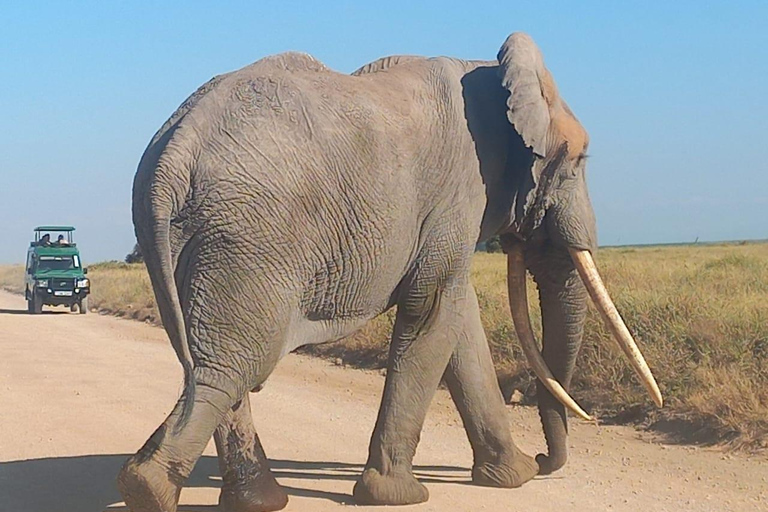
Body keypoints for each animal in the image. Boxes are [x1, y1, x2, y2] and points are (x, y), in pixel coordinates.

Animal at [120, 33, 660, 512]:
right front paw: (399, 496)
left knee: (213, 360)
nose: (547, 459)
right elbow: (435, 311)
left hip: (193, 237)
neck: (491, 70)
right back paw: (149, 488)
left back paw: (253, 500)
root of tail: (172, 153)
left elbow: (459, 323)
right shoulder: (460, 187)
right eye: (578, 161)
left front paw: (515, 477)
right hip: (251, 238)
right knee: (232, 366)